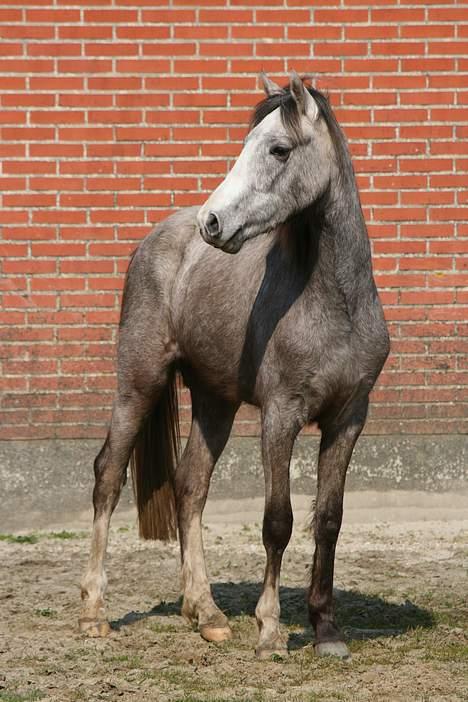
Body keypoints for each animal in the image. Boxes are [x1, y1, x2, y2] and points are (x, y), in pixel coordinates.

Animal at [79, 71, 392, 660]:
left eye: (279, 149)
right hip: (138, 383)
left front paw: (327, 631)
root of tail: (155, 238)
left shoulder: (349, 419)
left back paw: (205, 613)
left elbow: (329, 519)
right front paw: (270, 631)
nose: (213, 221)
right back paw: (93, 612)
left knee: (190, 487)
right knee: (108, 475)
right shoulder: (280, 416)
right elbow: (278, 521)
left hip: (214, 402)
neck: (333, 304)